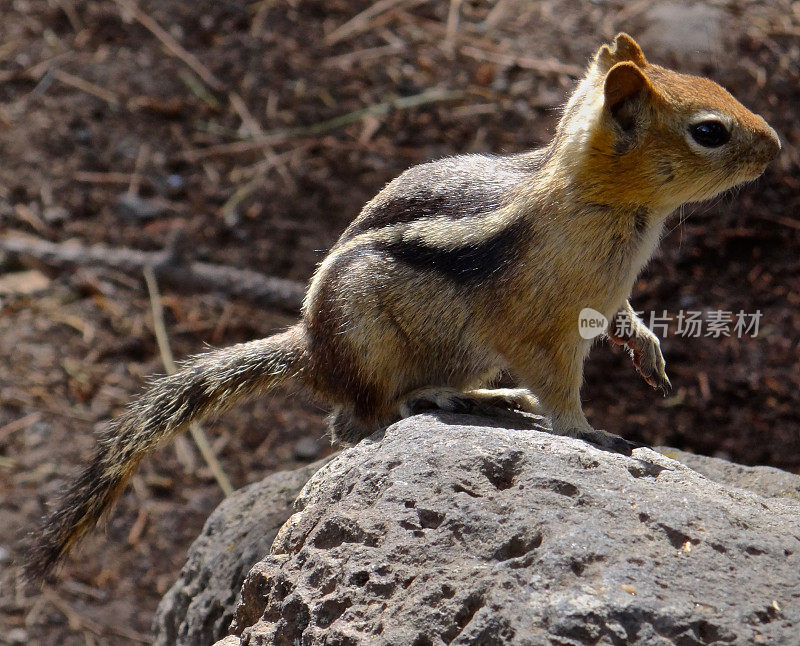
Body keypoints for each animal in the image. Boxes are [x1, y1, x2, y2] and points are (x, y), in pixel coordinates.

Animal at [26, 34, 780, 584]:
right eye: (710, 131)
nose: (775, 145)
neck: (597, 201)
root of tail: (311, 349)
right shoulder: (541, 325)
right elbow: (560, 383)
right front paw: (587, 430)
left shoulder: (603, 297)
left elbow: (624, 316)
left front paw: (647, 349)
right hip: (371, 344)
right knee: (356, 420)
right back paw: (440, 399)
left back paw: (491, 395)